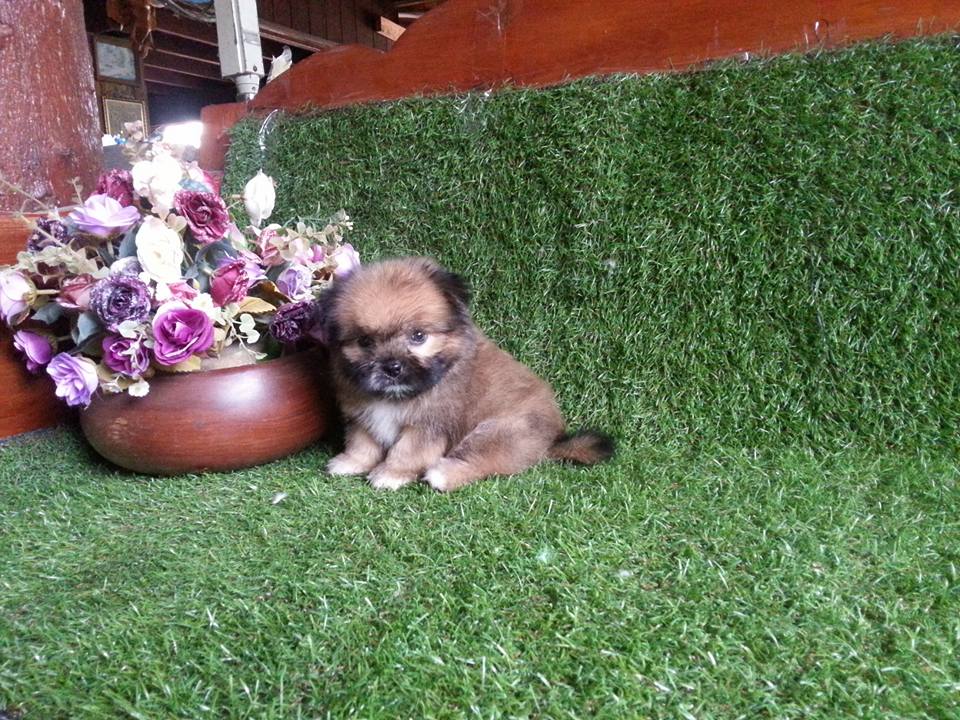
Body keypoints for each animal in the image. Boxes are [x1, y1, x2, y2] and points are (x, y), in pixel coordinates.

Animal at [318, 257, 613, 491]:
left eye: (418, 336)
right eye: (365, 341)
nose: (392, 367)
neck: (395, 397)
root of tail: (551, 442)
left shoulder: (427, 427)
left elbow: (406, 452)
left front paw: (390, 474)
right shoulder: (362, 415)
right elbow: (362, 443)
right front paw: (350, 462)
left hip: (496, 432)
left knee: (481, 460)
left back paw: (444, 474)